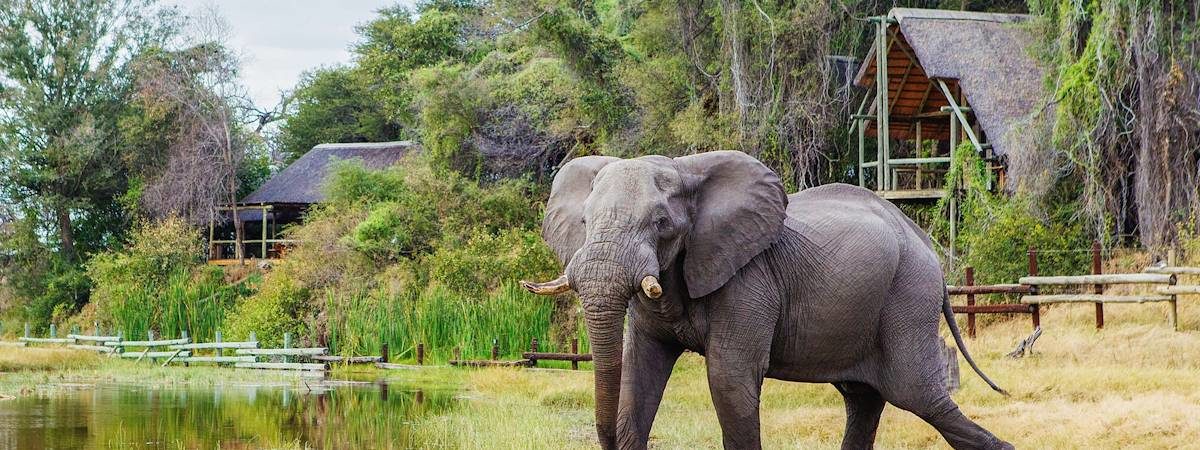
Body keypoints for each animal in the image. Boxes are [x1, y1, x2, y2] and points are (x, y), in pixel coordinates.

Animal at [520, 152, 1008, 450]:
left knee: (918, 394)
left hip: (907, 295)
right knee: (865, 398)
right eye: (585, 222)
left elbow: (728, 378)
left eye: (661, 223)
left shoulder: (749, 281)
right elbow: (640, 369)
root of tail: (929, 249)